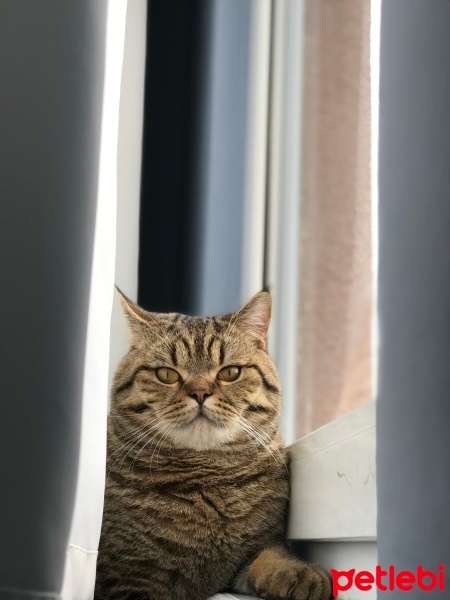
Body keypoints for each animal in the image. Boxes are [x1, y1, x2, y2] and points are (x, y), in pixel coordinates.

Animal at [95, 290, 332, 600]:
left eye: (230, 373)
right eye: (167, 374)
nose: (199, 392)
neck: (208, 483)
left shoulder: (242, 565)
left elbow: (270, 556)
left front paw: (299, 573)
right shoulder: (126, 578)